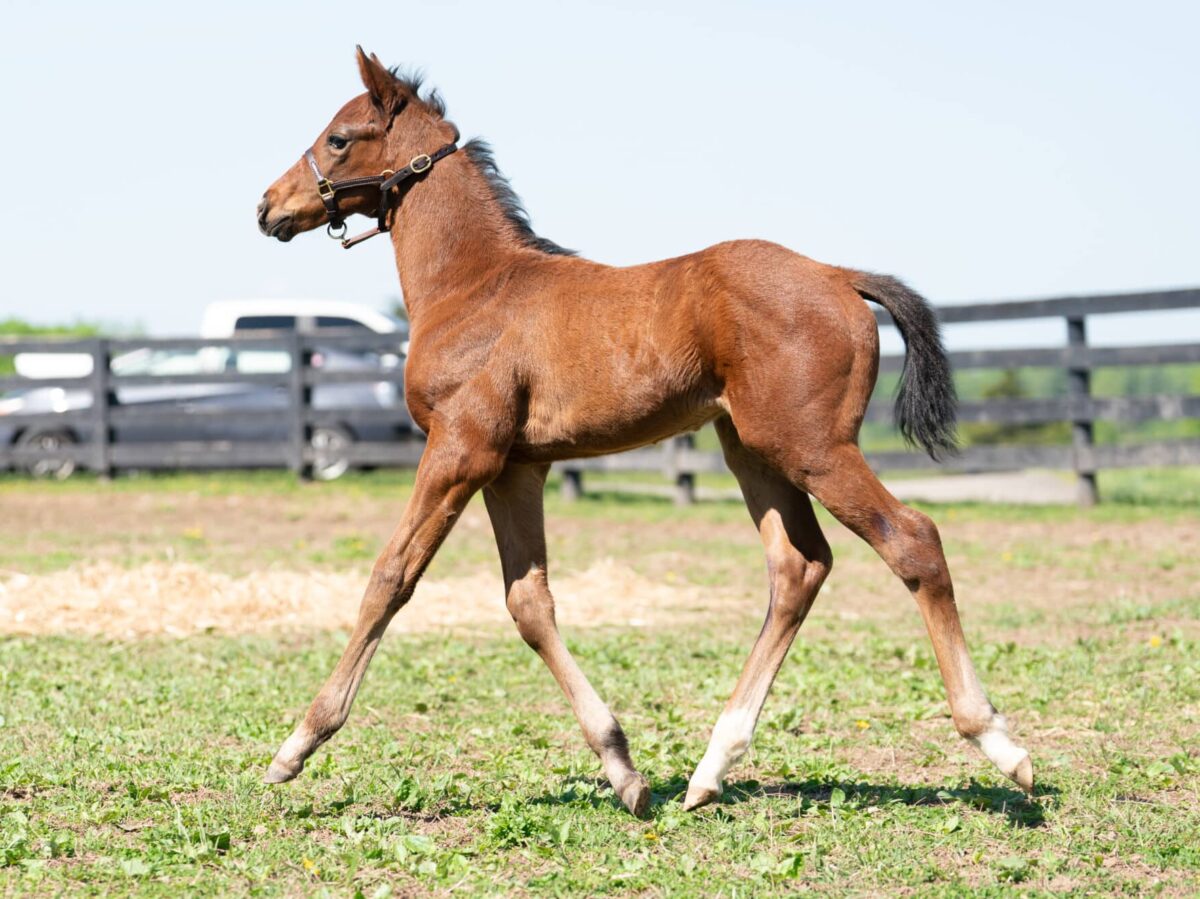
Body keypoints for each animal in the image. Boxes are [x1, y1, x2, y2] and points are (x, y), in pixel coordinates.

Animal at [253, 50, 1032, 820]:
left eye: (338, 138)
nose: (267, 206)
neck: (475, 285)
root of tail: (837, 275)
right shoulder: (515, 467)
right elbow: (528, 602)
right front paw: (623, 768)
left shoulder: (460, 450)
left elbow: (392, 576)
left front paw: (295, 746)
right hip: (752, 450)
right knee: (798, 566)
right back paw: (710, 769)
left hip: (813, 448)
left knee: (912, 539)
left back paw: (1000, 745)